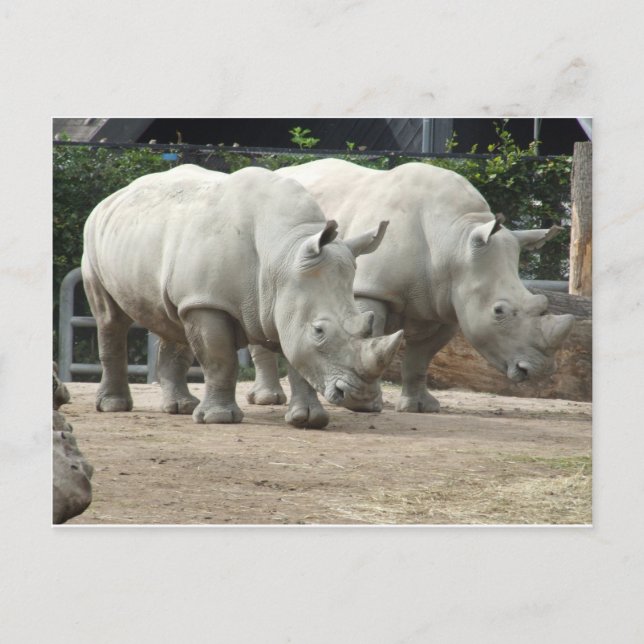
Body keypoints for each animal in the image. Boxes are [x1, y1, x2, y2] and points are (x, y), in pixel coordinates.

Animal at [81, 164, 403, 429]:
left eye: (367, 323)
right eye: (319, 330)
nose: (360, 397)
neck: (284, 252)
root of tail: (113, 196)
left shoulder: (284, 303)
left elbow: (298, 359)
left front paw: (308, 420)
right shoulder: (209, 302)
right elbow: (220, 359)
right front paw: (219, 418)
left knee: (173, 319)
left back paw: (181, 407)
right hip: (93, 237)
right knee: (110, 319)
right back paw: (114, 406)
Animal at [248, 158, 574, 413]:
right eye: (499, 311)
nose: (541, 370)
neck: (455, 240)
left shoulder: (447, 301)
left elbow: (421, 358)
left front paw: (421, 407)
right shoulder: (371, 289)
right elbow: (372, 335)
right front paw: (370, 403)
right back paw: (267, 400)